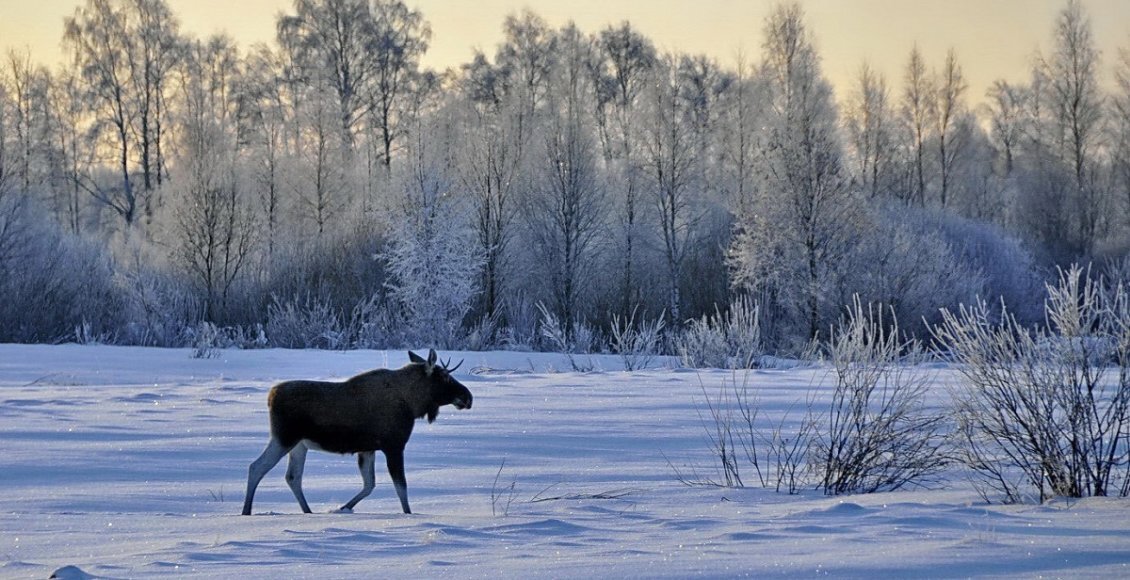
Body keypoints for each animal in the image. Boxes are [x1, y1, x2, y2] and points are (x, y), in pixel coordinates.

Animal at [242, 350, 472, 513]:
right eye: (445, 377)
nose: (468, 397)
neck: (413, 404)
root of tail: (270, 396)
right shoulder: (394, 446)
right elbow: (401, 488)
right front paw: (408, 514)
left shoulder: (368, 449)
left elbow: (370, 484)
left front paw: (344, 507)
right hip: (284, 438)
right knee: (256, 467)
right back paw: (246, 511)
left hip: (299, 445)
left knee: (292, 477)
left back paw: (308, 511)